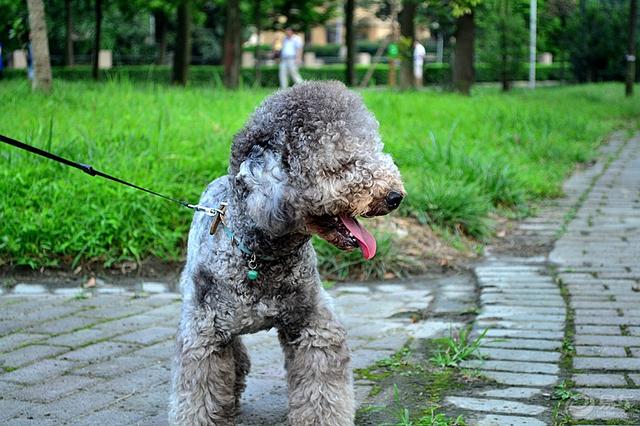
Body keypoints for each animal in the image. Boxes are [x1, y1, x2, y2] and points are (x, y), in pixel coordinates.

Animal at [170, 81, 404, 424]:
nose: (395, 196)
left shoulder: (313, 324)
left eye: (372, 150)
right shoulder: (204, 334)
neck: (259, 255)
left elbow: (322, 388)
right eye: (339, 166)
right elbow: (199, 393)